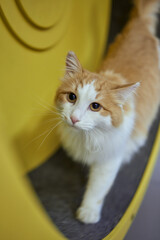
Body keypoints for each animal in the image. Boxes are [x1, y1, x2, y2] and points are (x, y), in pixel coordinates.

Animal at [54, 0, 160, 224]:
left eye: (95, 106)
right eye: (71, 97)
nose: (74, 119)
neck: (85, 137)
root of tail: (140, 24)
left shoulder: (109, 159)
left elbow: (97, 188)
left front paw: (88, 213)